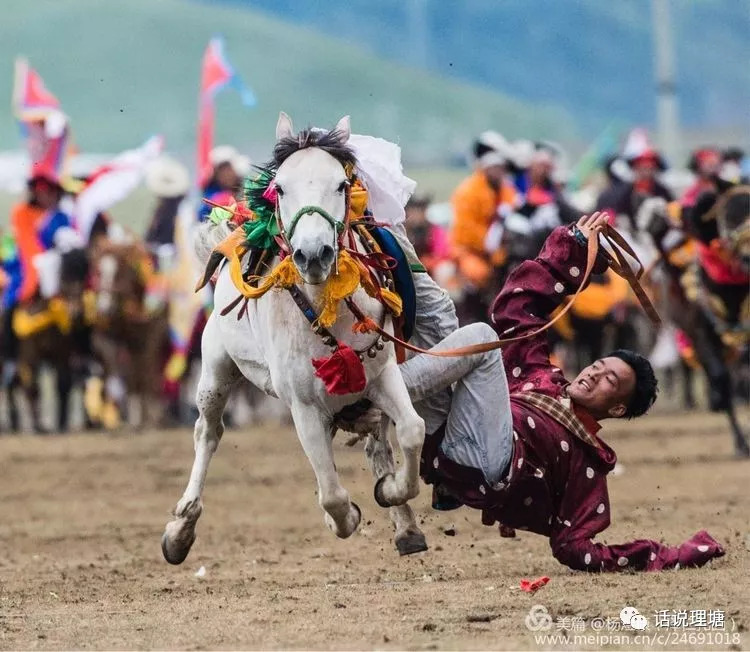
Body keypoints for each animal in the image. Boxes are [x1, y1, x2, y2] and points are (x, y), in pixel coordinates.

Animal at [164, 114, 432, 564]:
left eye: (341, 185)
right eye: (281, 188)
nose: (313, 254)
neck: (328, 303)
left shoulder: (381, 375)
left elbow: (412, 430)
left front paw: (391, 490)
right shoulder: (304, 406)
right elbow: (333, 496)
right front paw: (346, 517)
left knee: (378, 443)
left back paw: (406, 527)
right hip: (215, 371)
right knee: (208, 433)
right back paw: (180, 528)